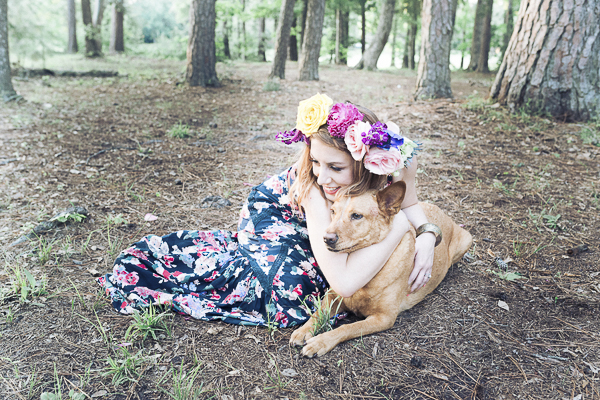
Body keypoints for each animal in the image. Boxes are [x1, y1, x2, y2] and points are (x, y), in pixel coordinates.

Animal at [290, 181, 474, 356]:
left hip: (468, 240)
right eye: (333, 212)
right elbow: (318, 311)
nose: (326, 238)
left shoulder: (383, 318)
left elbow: (348, 328)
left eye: (356, 216)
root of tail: (441, 211)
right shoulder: (333, 295)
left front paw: (320, 341)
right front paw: (304, 330)